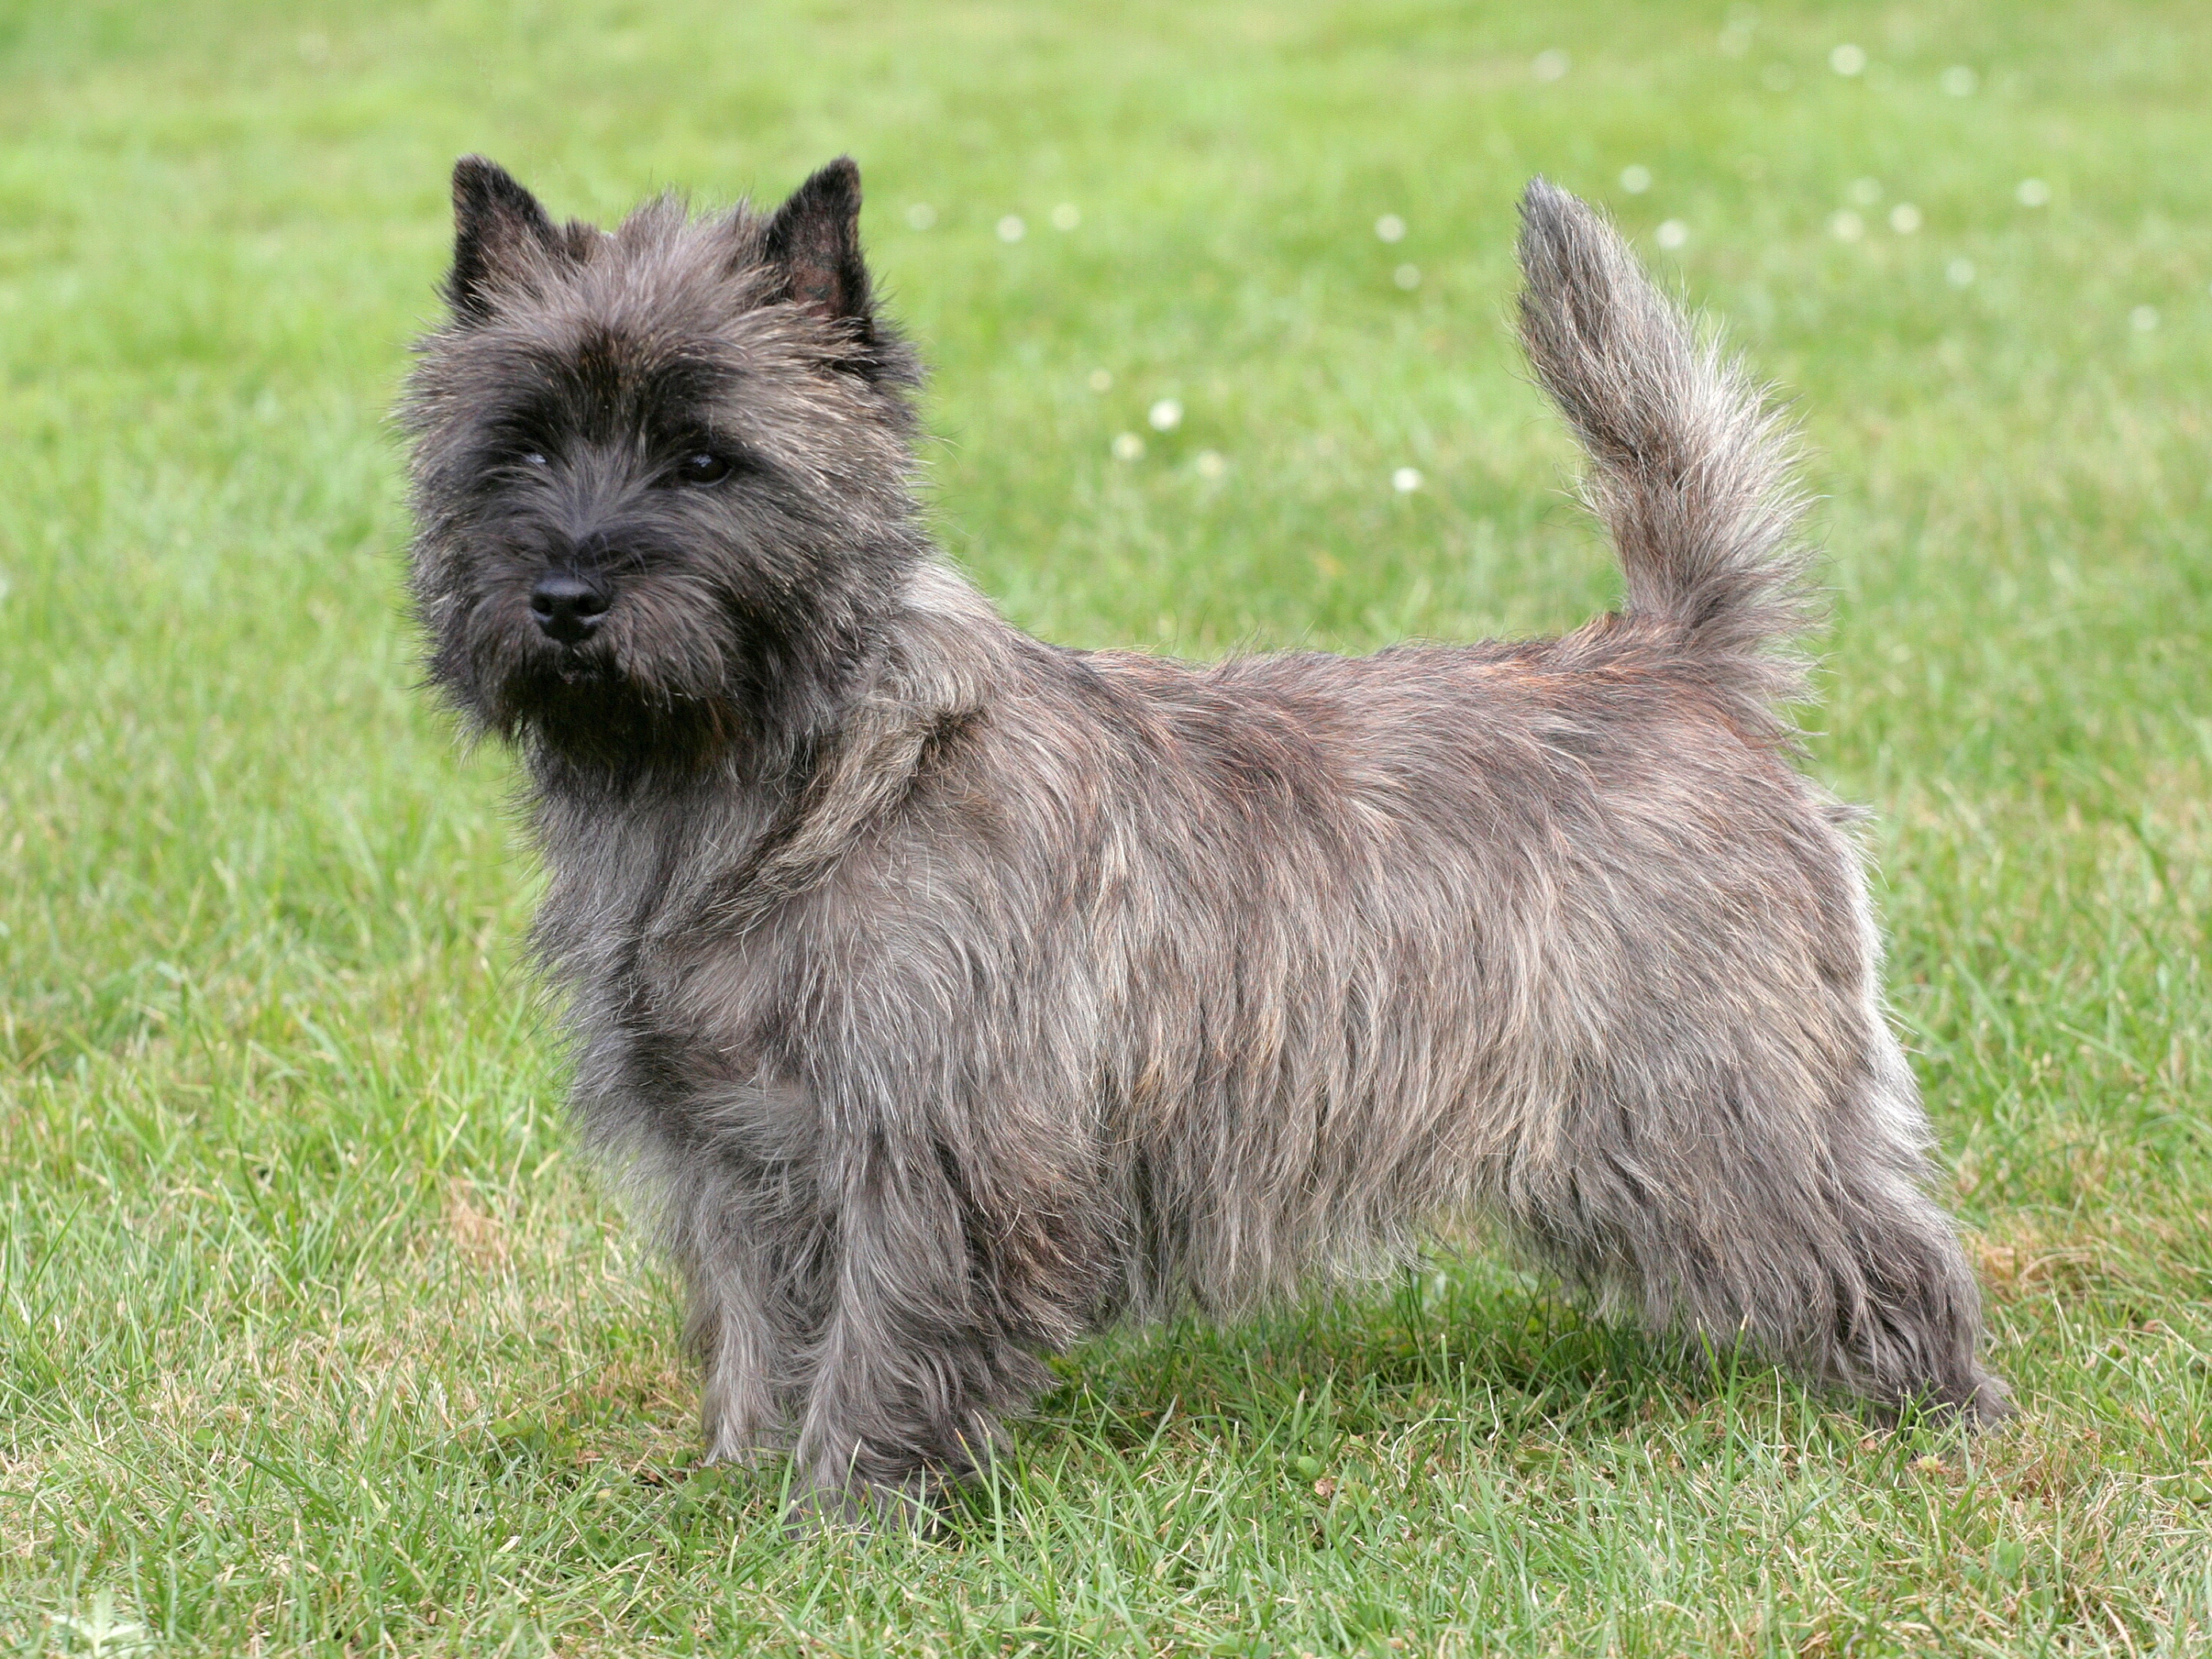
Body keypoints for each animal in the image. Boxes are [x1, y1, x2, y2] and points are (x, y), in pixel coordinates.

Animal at [398, 163, 2008, 1531]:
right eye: (520, 444)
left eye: (705, 457)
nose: (564, 596)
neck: (773, 787)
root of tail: (1674, 662)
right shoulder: (726, 1157)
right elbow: (756, 1332)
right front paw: (738, 1500)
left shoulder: (934, 1146)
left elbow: (882, 1337)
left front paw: (844, 1524)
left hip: (1709, 1103)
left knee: (1881, 1247)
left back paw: (1940, 1424)